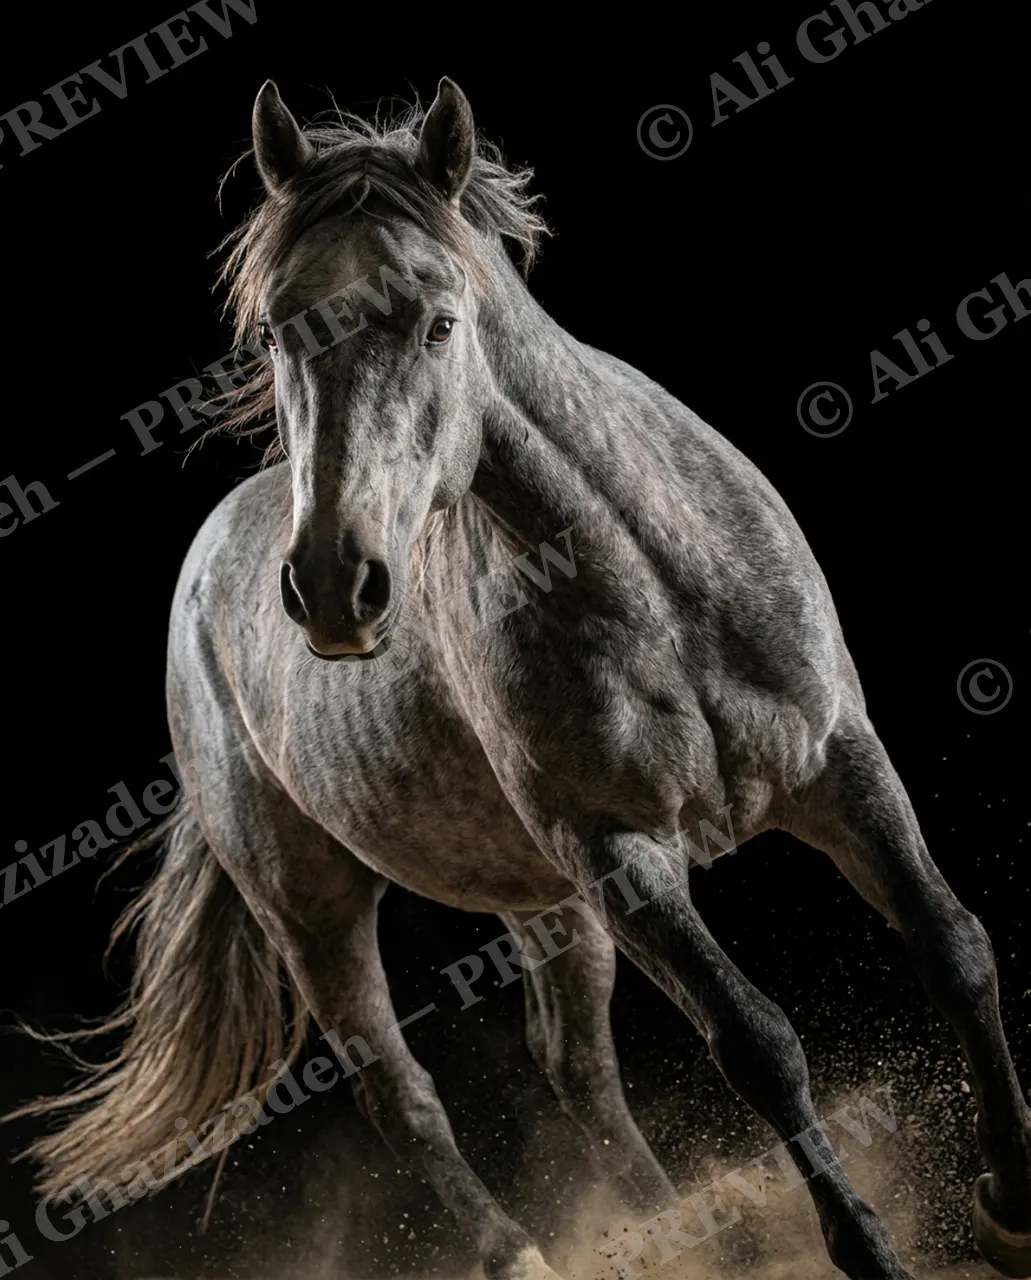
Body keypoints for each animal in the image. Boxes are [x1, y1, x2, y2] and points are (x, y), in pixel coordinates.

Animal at [13, 77, 1031, 1280]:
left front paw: (1009, 1207)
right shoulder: (619, 855)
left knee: (574, 1065)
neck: (652, 583)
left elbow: (954, 948)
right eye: (271, 329)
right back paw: (530, 1255)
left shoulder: (838, 764)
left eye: (438, 320)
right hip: (312, 903)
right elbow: (756, 1041)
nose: (332, 587)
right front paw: (870, 1250)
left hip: (542, 899)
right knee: (403, 1097)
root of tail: (209, 562)